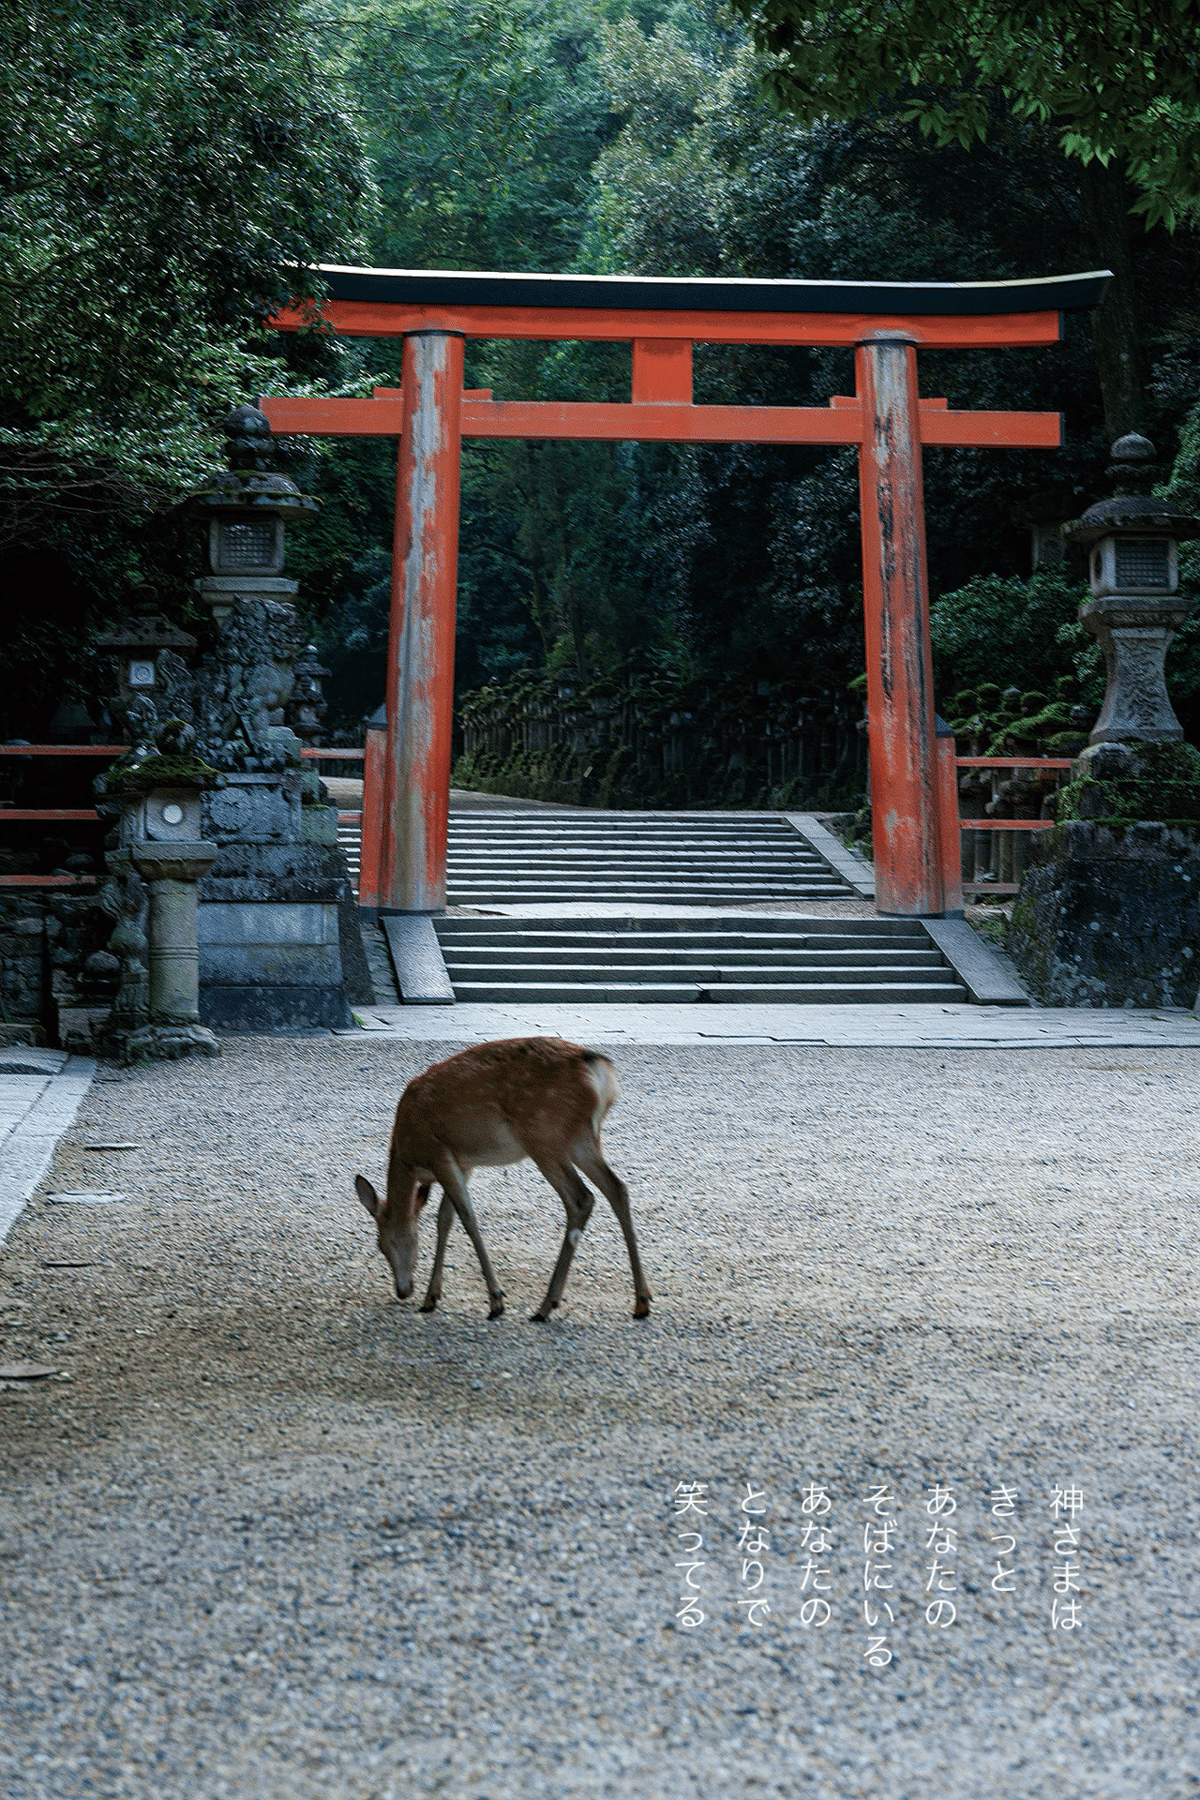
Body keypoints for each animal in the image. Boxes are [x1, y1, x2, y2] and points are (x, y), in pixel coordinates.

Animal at [353, 1037, 651, 1322]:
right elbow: (444, 1220)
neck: (408, 1155)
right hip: (582, 1138)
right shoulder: (464, 1163)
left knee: (581, 1198)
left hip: (544, 1137)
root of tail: (599, 1070)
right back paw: (641, 1302)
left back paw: (545, 1306)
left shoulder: (439, 1153)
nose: (402, 1291)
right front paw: (431, 1298)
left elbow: (467, 1218)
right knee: (617, 1188)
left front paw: (496, 1301)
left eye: (384, 1243)